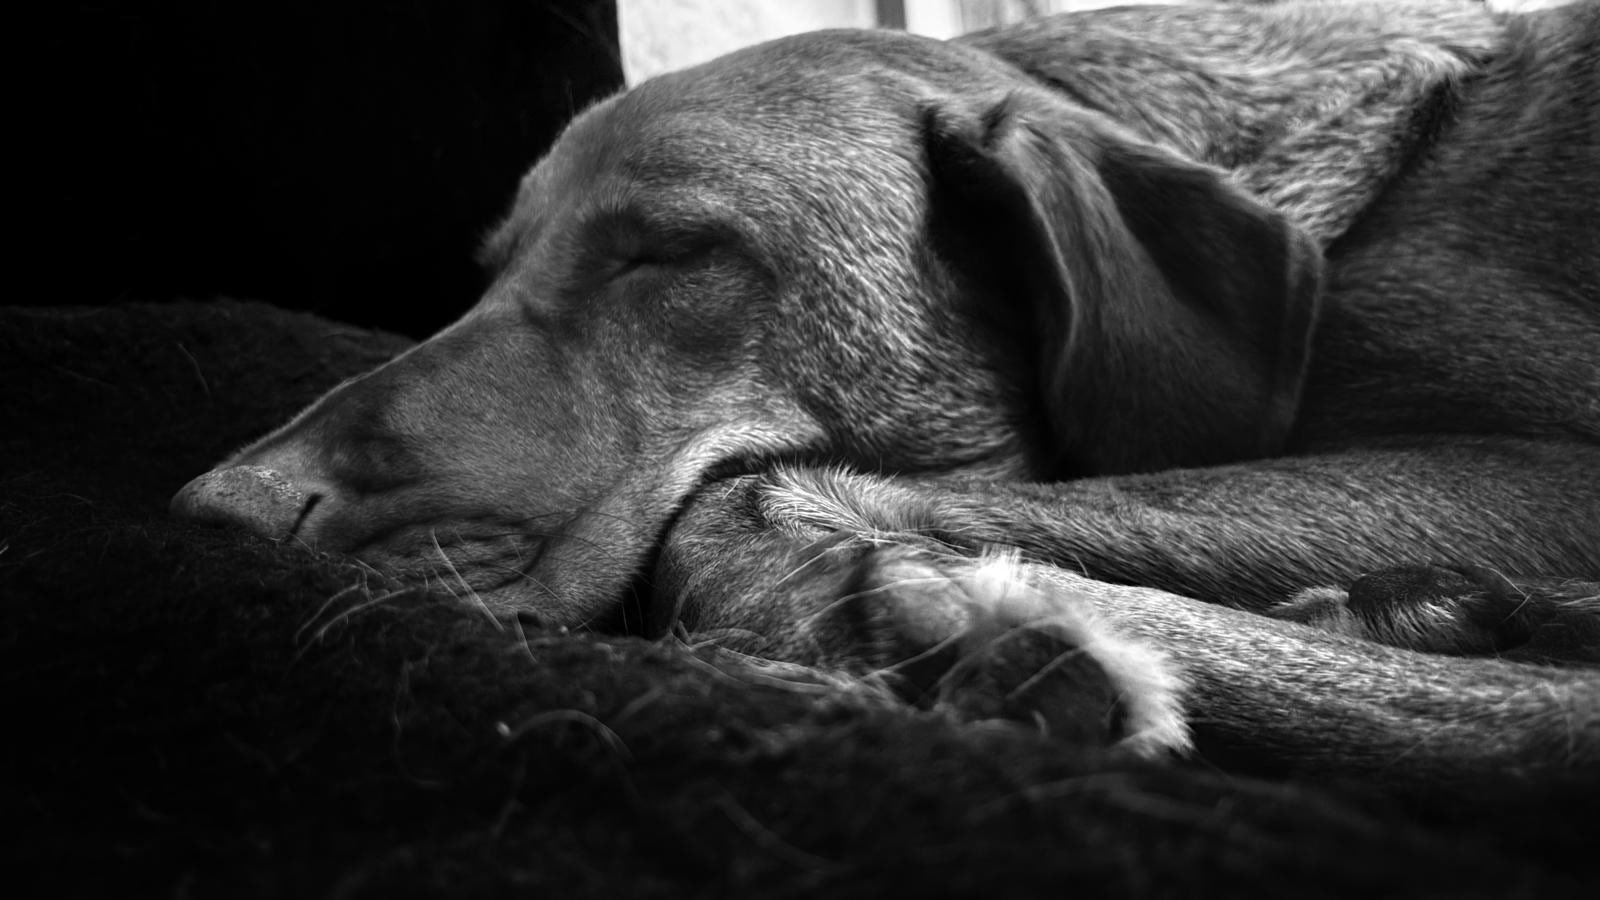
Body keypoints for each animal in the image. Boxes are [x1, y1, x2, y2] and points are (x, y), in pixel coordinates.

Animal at [171, 0, 1600, 795]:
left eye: (669, 253)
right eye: (486, 277)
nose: (215, 514)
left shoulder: (1548, 472)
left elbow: (726, 510)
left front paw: (948, 630)